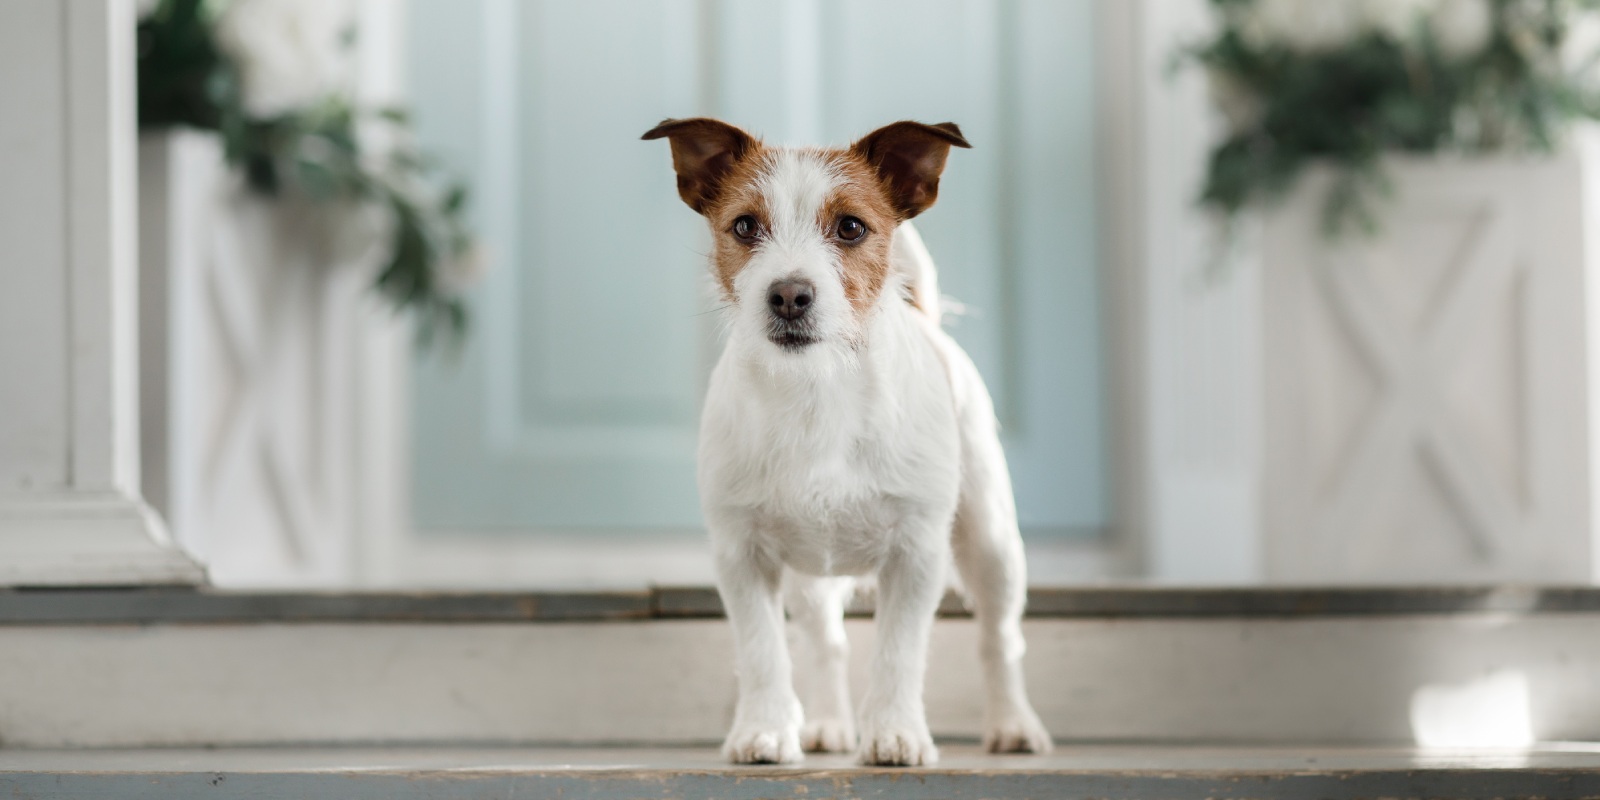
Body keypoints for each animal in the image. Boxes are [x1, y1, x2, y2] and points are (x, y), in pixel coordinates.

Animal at [643, 116, 1056, 764]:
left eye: (852, 227)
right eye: (744, 226)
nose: (789, 295)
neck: (817, 391)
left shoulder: (916, 556)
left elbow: (898, 653)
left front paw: (894, 733)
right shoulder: (741, 556)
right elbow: (762, 651)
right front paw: (763, 730)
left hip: (992, 545)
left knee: (999, 637)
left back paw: (1013, 724)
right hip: (812, 578)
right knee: (826, 643)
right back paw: (827, 724)